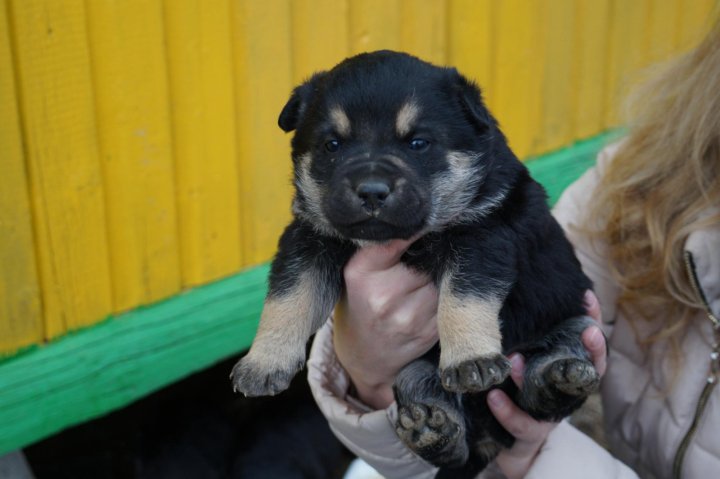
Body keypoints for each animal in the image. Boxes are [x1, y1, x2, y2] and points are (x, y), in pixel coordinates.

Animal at [233, 50, 600, 478]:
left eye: (419, 143)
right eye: (332, 144)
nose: (372, 192)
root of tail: (489, 439)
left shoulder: (481, 236)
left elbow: (464, 298)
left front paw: (471, 358)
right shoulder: (308, 239)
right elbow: (288, 297)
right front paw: (263, 361)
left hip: (576, 322)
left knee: (543, 390)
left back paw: (559, 379)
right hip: (415, 372)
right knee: (437, 415)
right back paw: (431, 429)